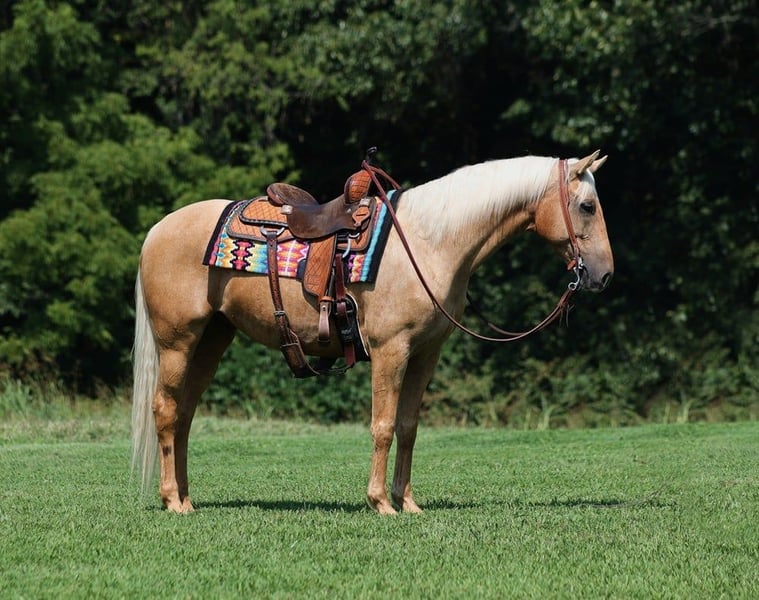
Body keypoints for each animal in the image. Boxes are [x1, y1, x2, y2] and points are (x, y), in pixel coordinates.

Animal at [131, 151, 614, 514]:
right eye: (587, 206)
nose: (604, 275)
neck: (427, 244)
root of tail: (157, 230)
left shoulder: (425, 353)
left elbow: (408, 425)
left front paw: (408, 502)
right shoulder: (390, 349)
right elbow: (382, 425)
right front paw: (380, 502)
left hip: (212, 340)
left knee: (185, 414)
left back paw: (187, 499)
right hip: (177, 341)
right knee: (166, 411)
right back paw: (172, 500)